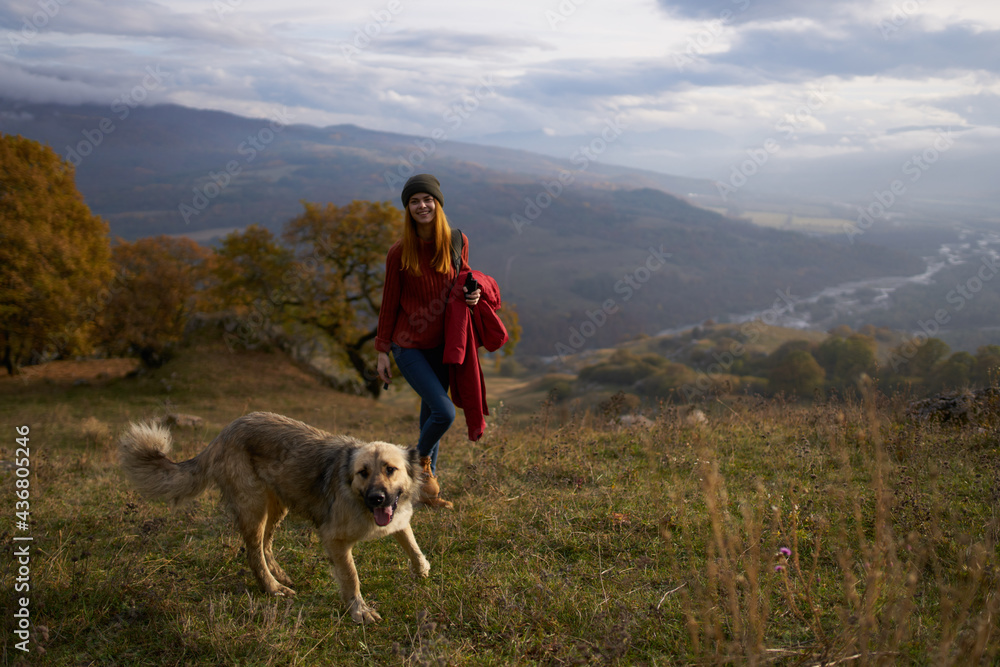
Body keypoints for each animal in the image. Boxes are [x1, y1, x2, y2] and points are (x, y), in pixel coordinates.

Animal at [118, 410, 430, 624]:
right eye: (363, 472)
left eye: (390, 469)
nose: (377, 498)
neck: (356, 496)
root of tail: (224, 433)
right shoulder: (335, 540)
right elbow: (351, 576)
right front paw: (359, 609)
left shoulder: (398, 519)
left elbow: (412, 543)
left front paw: (421, 569)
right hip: (254, 508)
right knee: (253, 552)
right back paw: (272, 587)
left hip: (277, 507)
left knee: (265, 545)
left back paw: (279, 575)